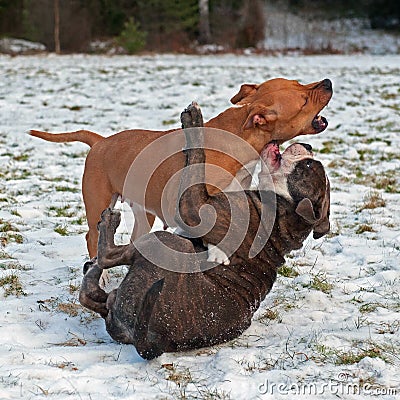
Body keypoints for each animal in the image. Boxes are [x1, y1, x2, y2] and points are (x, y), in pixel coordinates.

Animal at [30, 76, 332, 258]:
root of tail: (100, 141)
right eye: (304, 101)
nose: (328, 82)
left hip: (143, 210)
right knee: (92, 237)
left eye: (299, 82)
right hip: (98, 204)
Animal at [79, 103, 330, 360]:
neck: (281, 208)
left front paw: (194, 121)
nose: (308, 147)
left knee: (107, 256)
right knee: (91, 292)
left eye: (308, 165)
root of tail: (156, 338)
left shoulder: (193, 206)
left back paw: (107, 229)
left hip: (165, 242)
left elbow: (197, 156)